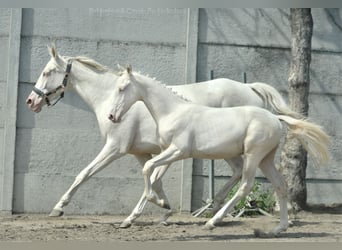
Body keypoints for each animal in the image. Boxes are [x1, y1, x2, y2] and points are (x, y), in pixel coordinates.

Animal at [26, 45, 300, 229]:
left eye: (47, 72)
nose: (31, 101)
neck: (108, 99)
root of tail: (250, 88)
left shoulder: (115, 148)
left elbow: (85, 173)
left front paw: (58, 208)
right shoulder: (141, 152)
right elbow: (154, 178)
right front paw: (163, 210)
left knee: (243, 176)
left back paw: (216, 213)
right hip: (230, 151)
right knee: (239, 173)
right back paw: (214, 207)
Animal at [108, 66, 330, 234]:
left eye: (122, 88)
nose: (111, 116)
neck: (173, 111)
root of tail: (275, 118)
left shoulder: (178, 151)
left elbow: (147, 167)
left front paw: (158, 204)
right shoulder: (167, 151)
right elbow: (153, 174)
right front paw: (160, 207)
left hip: (253, 155)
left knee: (245, 186)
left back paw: (213, 221)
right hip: (265, 158)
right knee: (280, 185)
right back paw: (279, 228)